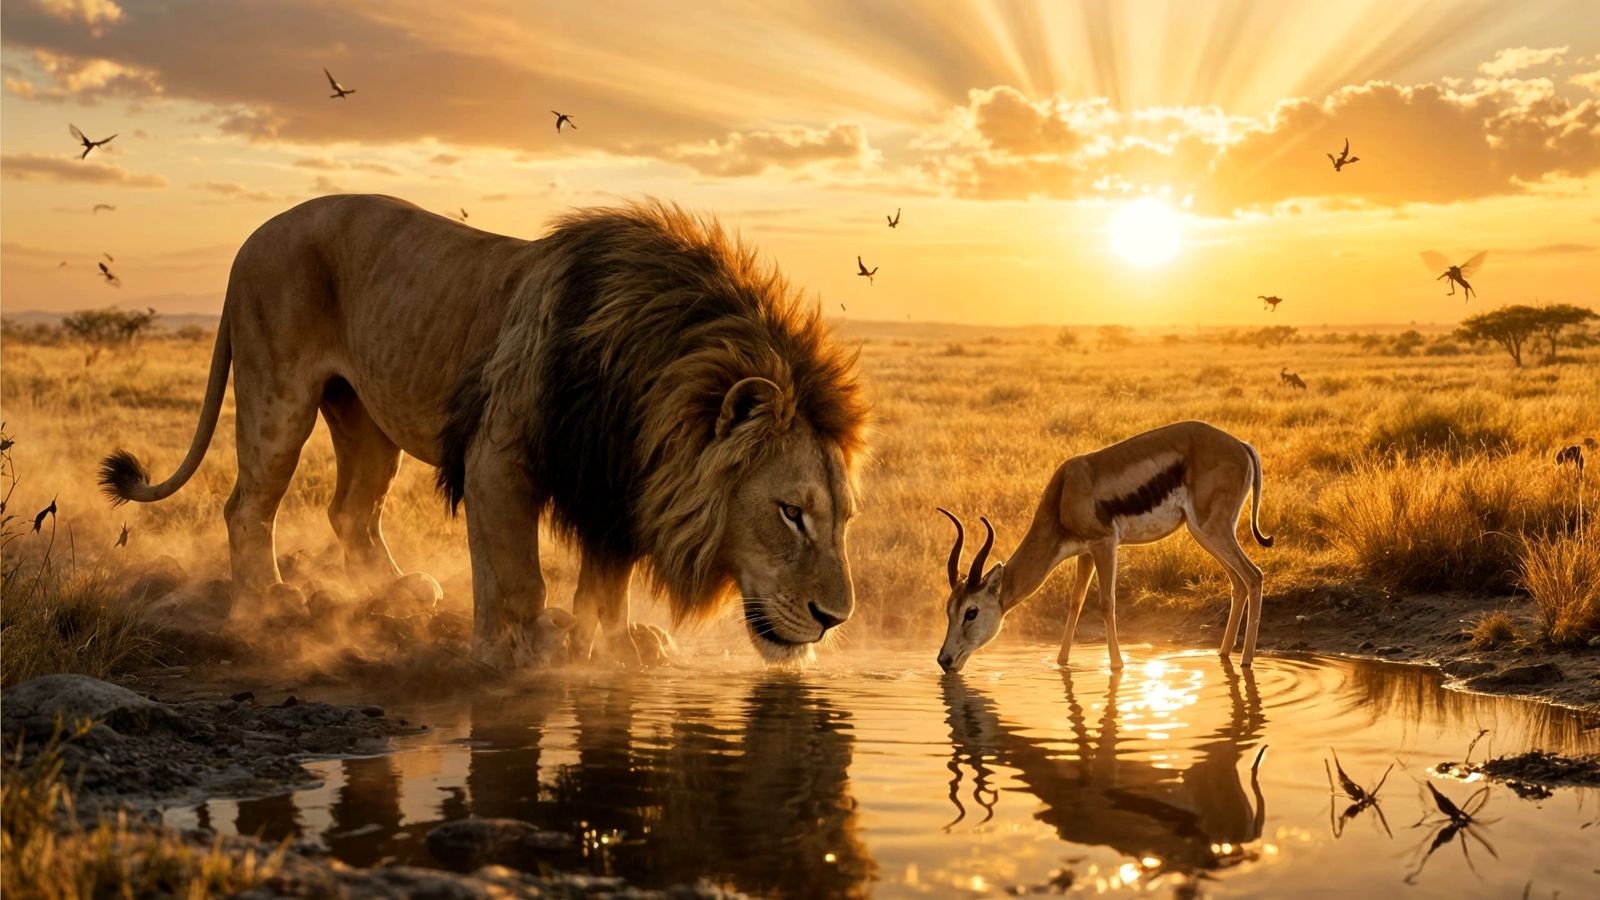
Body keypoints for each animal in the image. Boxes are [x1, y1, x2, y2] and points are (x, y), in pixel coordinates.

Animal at [100, 194, 869, 666]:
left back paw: (398, 594)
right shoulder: (498, 457)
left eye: (844, 519)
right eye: (791, 512)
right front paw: (532, 649)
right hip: (278, 395)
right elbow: (522, 579)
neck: (656, 371)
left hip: (365, 415)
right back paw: (269, 599)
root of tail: (251, 237)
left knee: (351, 511)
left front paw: (616, 647)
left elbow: (606, 585)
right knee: (247, 506)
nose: (835, 618)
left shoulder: (612, 482)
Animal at [936, 421, 1272, 674]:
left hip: (1210, 530)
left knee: (1253, 576)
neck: (1065, 493)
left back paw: (1245, 662)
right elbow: (1076, 602)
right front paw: (1062, 662)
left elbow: (1106, 602)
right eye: (949, 610)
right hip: (1205, 533)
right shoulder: (1084, 553)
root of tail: (1241, 445)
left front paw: (1117, 664)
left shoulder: (1105, 544)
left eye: (971, 612)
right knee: (1238, 583)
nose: (943, 660)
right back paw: (1223, 654)